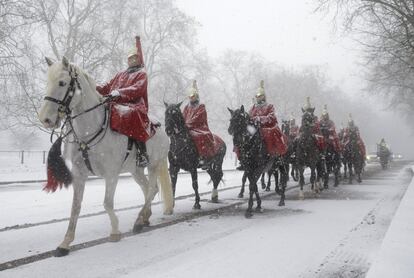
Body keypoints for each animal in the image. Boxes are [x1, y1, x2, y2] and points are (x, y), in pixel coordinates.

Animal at [38, 56, 174, 256]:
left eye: (62, 83)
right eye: (47, 82)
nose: (45, 118)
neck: (90, 131)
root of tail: (161, 127)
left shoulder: (111, 174)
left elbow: (107, 203)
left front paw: (115, 231)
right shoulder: (79, 175)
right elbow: (75, 207)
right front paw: (65, 242)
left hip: (154, 164)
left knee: (151, 190)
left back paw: (139, 220)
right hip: (135, 170)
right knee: (149, 189)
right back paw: (145, 217)